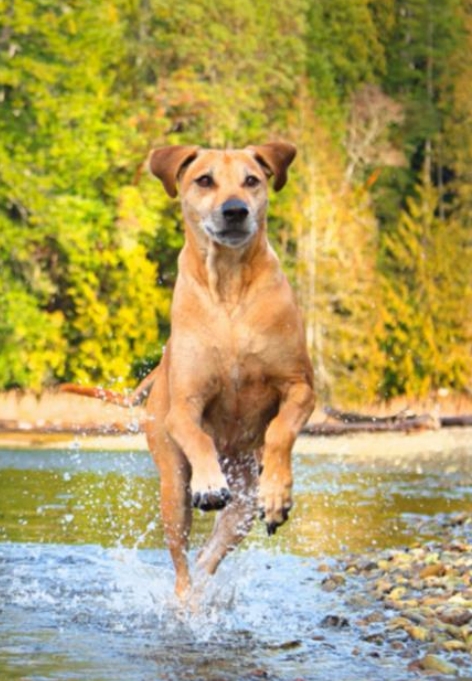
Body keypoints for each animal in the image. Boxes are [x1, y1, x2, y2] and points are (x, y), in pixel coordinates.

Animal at [61, 142, 314, 596]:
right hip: (173, 489)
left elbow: (281, 431)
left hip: (242, 501)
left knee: (209, 554)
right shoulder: (184, 407)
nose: (235, 210)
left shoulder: (300, 385)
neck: (230, 287)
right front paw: (210, 482)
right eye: (205, 180)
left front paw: (278, 494)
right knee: (181, 563)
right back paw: (186, 597)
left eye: (252, 180)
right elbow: (197, 435)